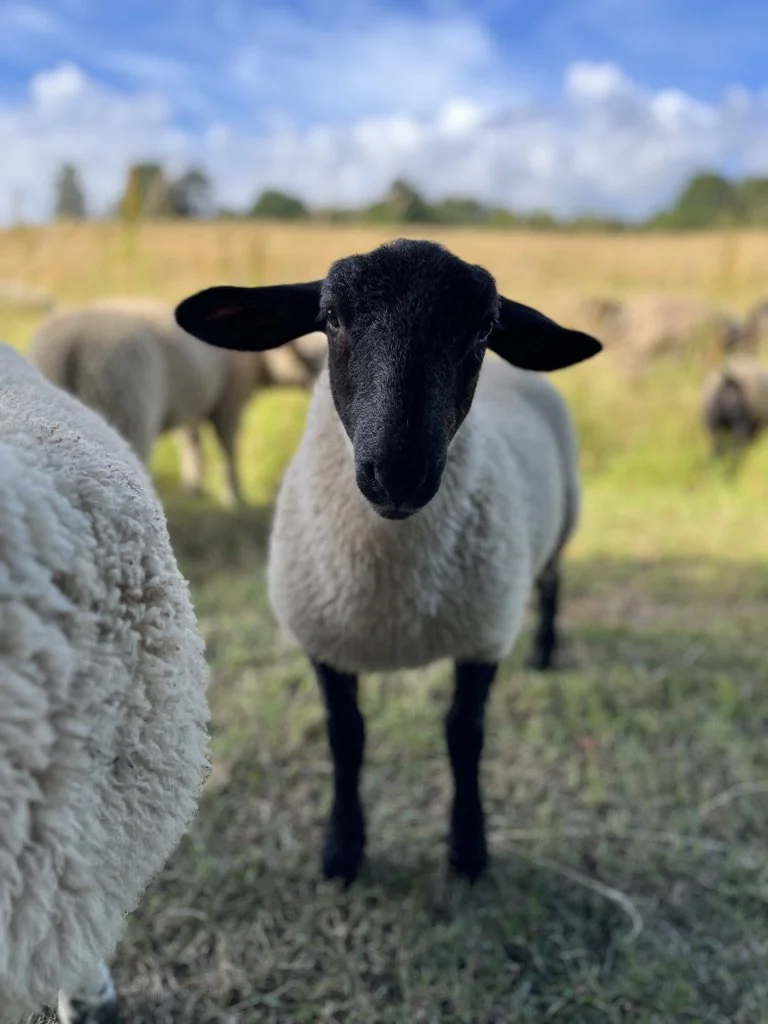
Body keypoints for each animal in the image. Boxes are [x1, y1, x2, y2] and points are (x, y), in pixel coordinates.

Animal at [26, 298, 326, 508]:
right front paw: (235, 496)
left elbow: (191, 441)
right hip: (125, 407)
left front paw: (194, 488)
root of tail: (71, 345)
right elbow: (228, 447)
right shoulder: (228, 401)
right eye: (310, 359)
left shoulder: (192, 400)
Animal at [174, 238, 601, 885]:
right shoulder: (325, 641)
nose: (399, 473)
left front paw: (467, 849)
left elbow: (463, 735)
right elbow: (346, 738)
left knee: (552, 583)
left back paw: (545, 654)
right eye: (330, 318)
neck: (393, 596)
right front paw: (342, 851)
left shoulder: (482, 635)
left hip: (562, 521)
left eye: (484, 328)